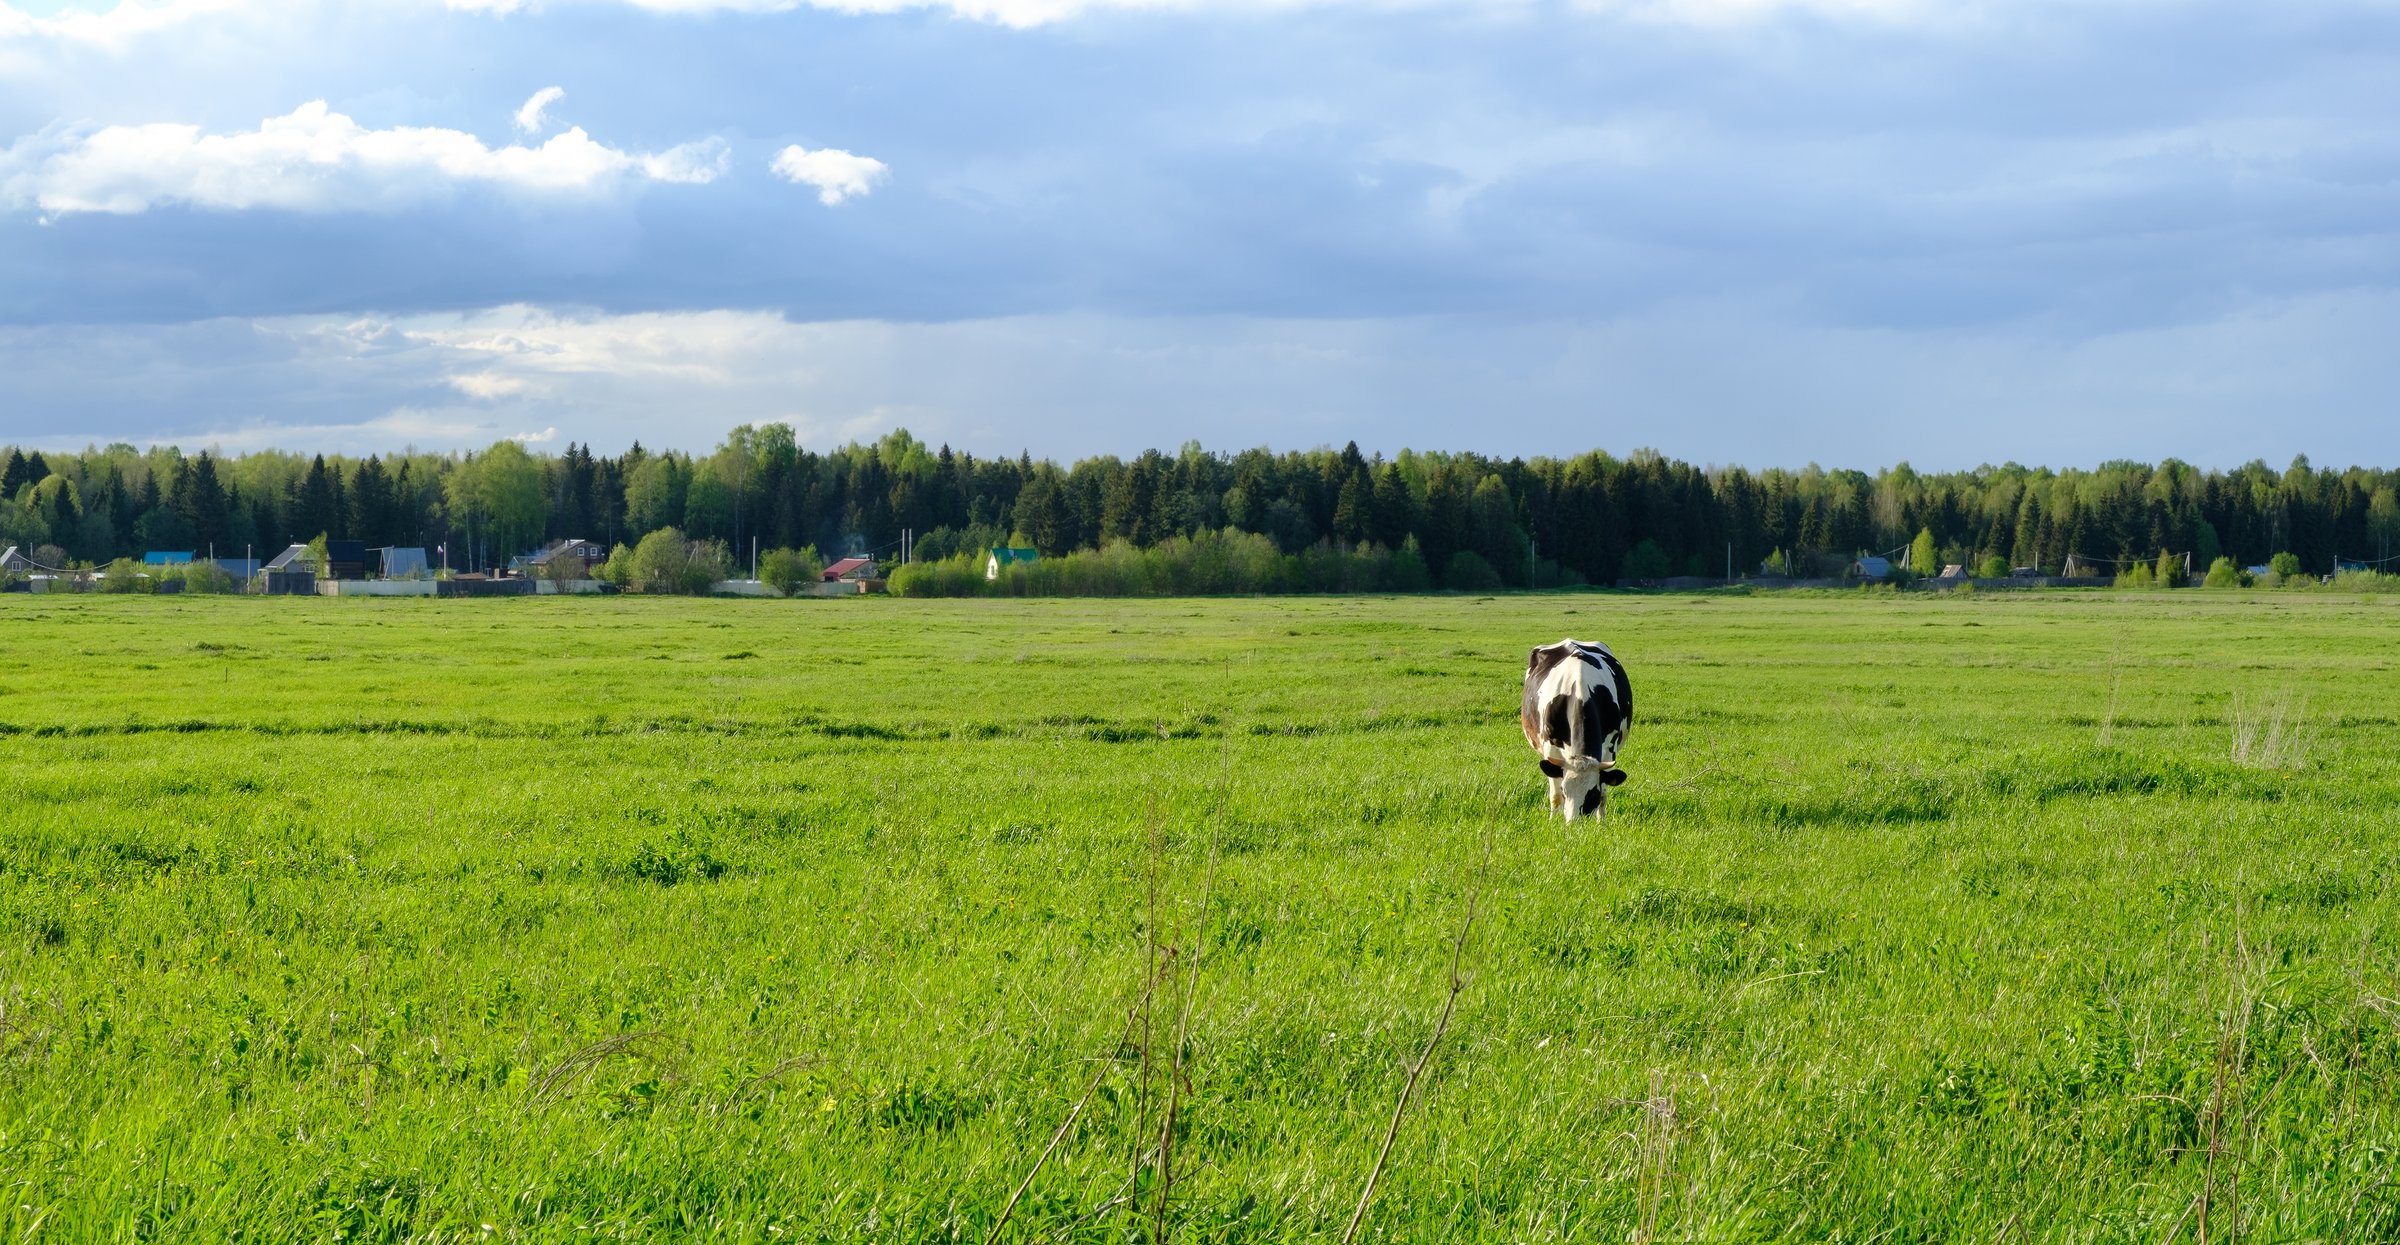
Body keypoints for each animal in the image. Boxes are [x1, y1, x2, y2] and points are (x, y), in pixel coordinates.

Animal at [1521, 638, 1632, 820]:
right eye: (1565, 791)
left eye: (1592, 794)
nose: (1572, 823)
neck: (1581, 694)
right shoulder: (1551, 749)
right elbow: (1555, 796)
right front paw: (1552, 821)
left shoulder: (1610, 748)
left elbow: (1604, 796)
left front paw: (1602, 823)